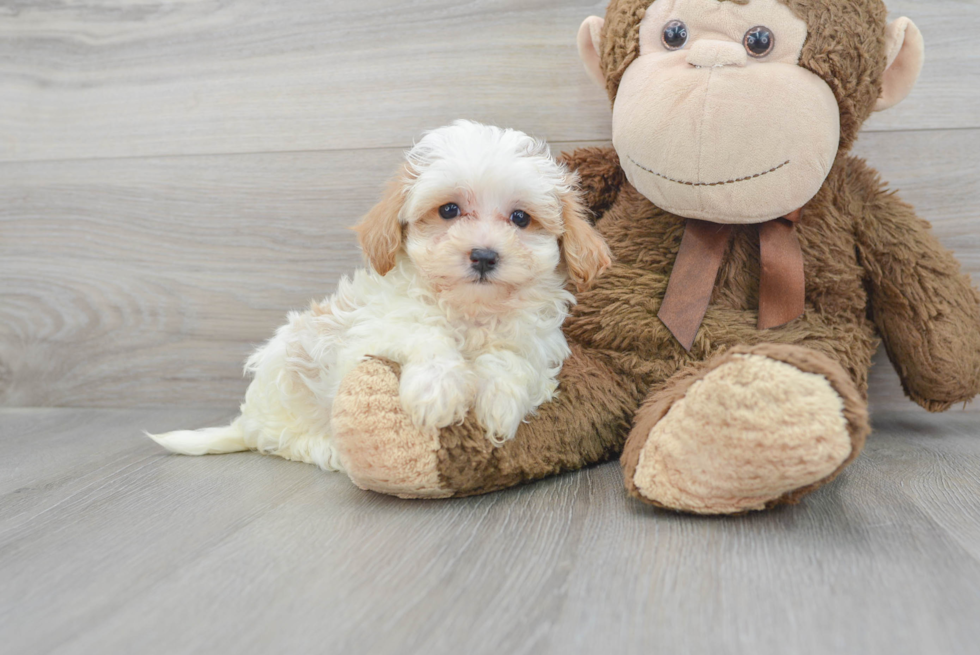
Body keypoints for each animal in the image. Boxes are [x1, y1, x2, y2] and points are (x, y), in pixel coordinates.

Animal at [148, 120, 608, 472]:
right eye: (448, 210)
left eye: (520, 218)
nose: (483, 255)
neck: (470, 310)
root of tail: (247, 421)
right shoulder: (375, 330)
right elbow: (422, 332)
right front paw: (438, 391)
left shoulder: (537, 346)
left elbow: (512, 359)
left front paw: (498, 401)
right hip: (289, 382)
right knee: (286, 442)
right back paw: (328, 449)